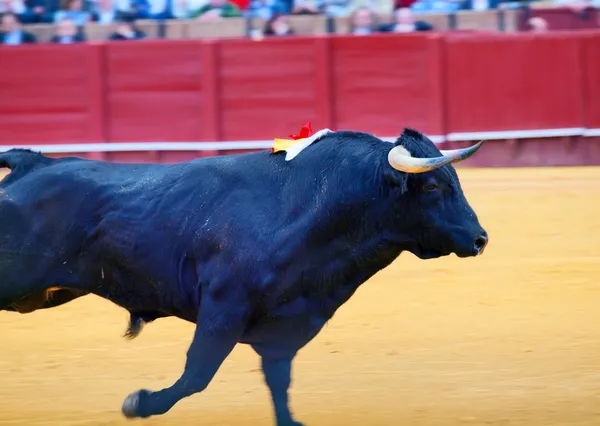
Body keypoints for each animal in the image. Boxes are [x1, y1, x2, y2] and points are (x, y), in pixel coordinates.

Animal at [0, 129, 488, 426]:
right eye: (433, 186)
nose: (480, 239)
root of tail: (34, 164)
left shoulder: (288, 326)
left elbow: (279, 386)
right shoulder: (222, 311)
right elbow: (196, 375)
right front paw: (138, 402)